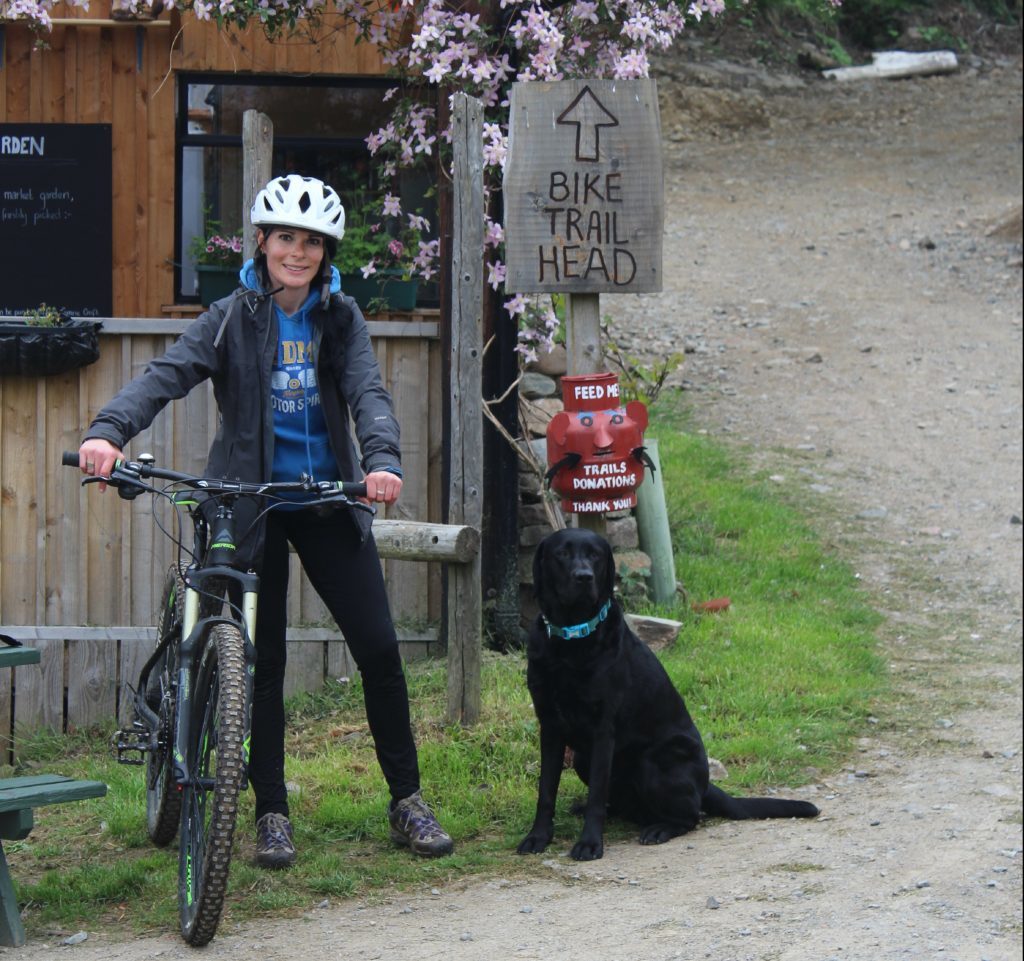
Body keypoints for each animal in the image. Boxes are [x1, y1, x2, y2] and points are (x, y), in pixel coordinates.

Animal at [516, 524, 819, 860]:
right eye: (562, 554)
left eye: (595, 555)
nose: (584, 576)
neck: (571, 639)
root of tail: (705, 785)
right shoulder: (550, 727)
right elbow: (546, 790)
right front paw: (538, 837)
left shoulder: (603, 731)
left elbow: (596, 792)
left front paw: (590, 843)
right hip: (583, 757)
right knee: (626, 805)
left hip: (654, 762)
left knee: (691, 816)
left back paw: (660, 829)